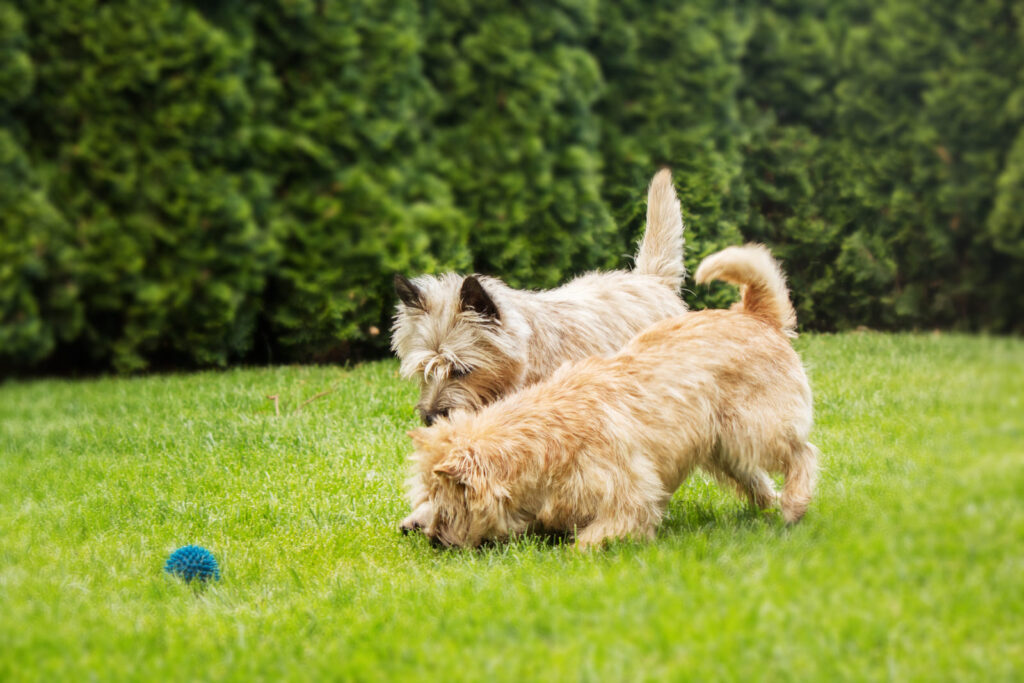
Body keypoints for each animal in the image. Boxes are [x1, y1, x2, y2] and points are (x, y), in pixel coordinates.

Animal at [406, 244, 818, 549]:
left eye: (449, 503)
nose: (435, 540)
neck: (544, 443)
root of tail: (755, 315)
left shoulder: (631, 496)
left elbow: (592, 538)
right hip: (724, 446)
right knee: (755, 477)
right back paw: (769, 505)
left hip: (756, 428)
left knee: (803, 453)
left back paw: (794, 506)